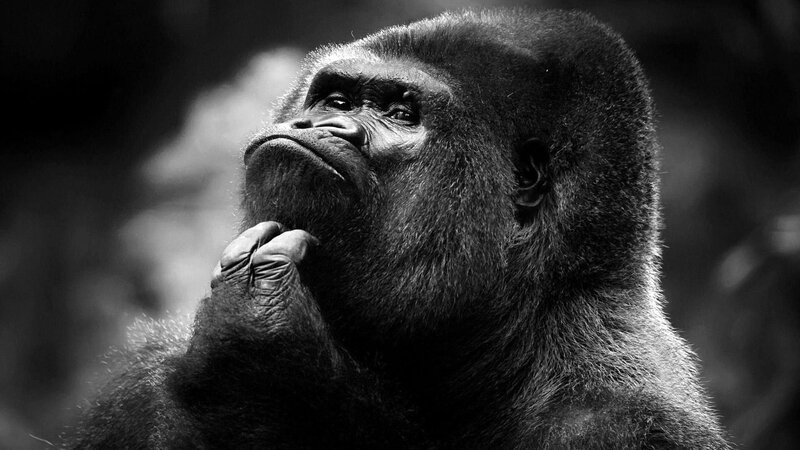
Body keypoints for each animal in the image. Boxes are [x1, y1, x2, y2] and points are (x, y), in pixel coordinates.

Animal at [67, 9, 730, 449]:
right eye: (336, 98)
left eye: (399, 113)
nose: (322, 124)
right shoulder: (146, 374)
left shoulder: (625, 422)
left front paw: (266, 366)